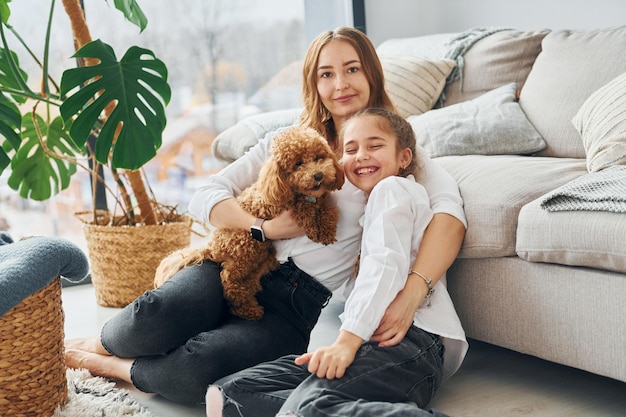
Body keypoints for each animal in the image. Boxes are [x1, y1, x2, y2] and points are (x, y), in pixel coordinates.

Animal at [153, 126, 344, 318]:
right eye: (298, 163)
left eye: (318, 157)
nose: (318, 175)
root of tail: (212, 248)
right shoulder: (280, 205)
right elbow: (303, 209)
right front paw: (314, 228)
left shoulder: (323, 200)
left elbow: (329, 210)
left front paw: (326, 229)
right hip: (247, 246)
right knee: (229, 279)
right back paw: (247, 310)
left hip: (264, 254)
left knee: (249, 280)